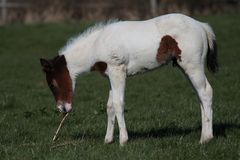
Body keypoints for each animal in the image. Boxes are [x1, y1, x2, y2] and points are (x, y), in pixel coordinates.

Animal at [40, 13, 218, 146]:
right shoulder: (110, 76)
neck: (97, 45)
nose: (63, 109)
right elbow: (110, 105)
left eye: (52, 84)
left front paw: (123, 140)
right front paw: (107, 140)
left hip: (192, 65)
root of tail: (202, 26)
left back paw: (206, 138)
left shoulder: (118, 71)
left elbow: (119, 104)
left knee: (206, 92)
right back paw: (204, 134)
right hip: (185, 67)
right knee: (200, 95)